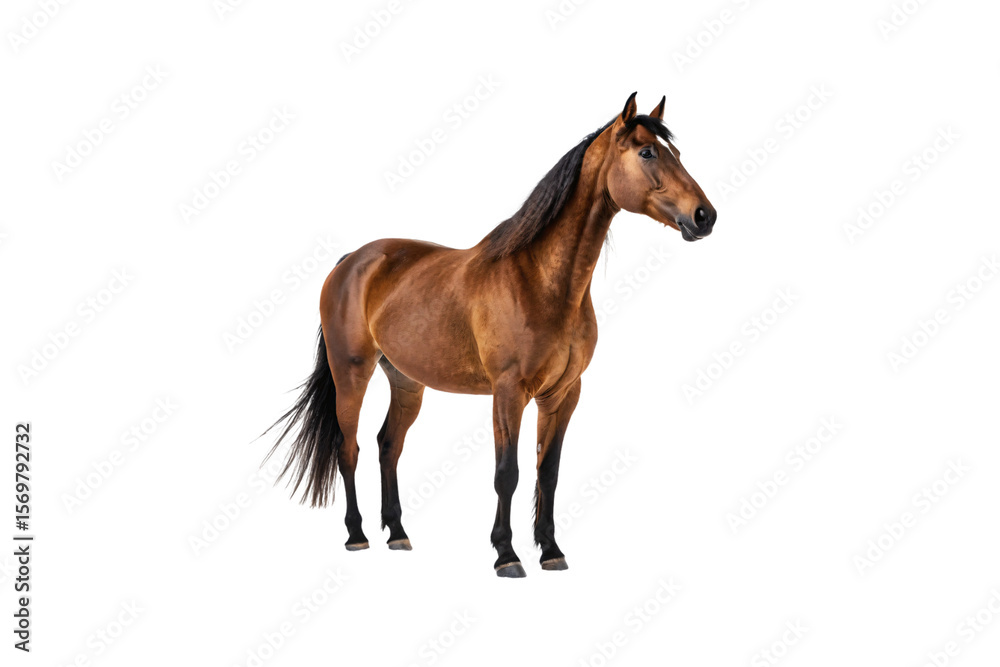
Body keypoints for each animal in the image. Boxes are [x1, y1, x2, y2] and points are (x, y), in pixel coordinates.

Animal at [265, 92, 716, 578]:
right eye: (647, 152)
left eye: (675, 153)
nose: (704, 216)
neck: (541, 281)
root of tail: (351, 261)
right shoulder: (508, 391)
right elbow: (508, 473)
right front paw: (507, 554)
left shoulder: (563, 393)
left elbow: (547, 472)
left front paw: (551, 550)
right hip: (352, 374)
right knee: (349, 449)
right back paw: (357, 535)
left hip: (406, 381)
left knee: (389, 445)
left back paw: (398, 533)